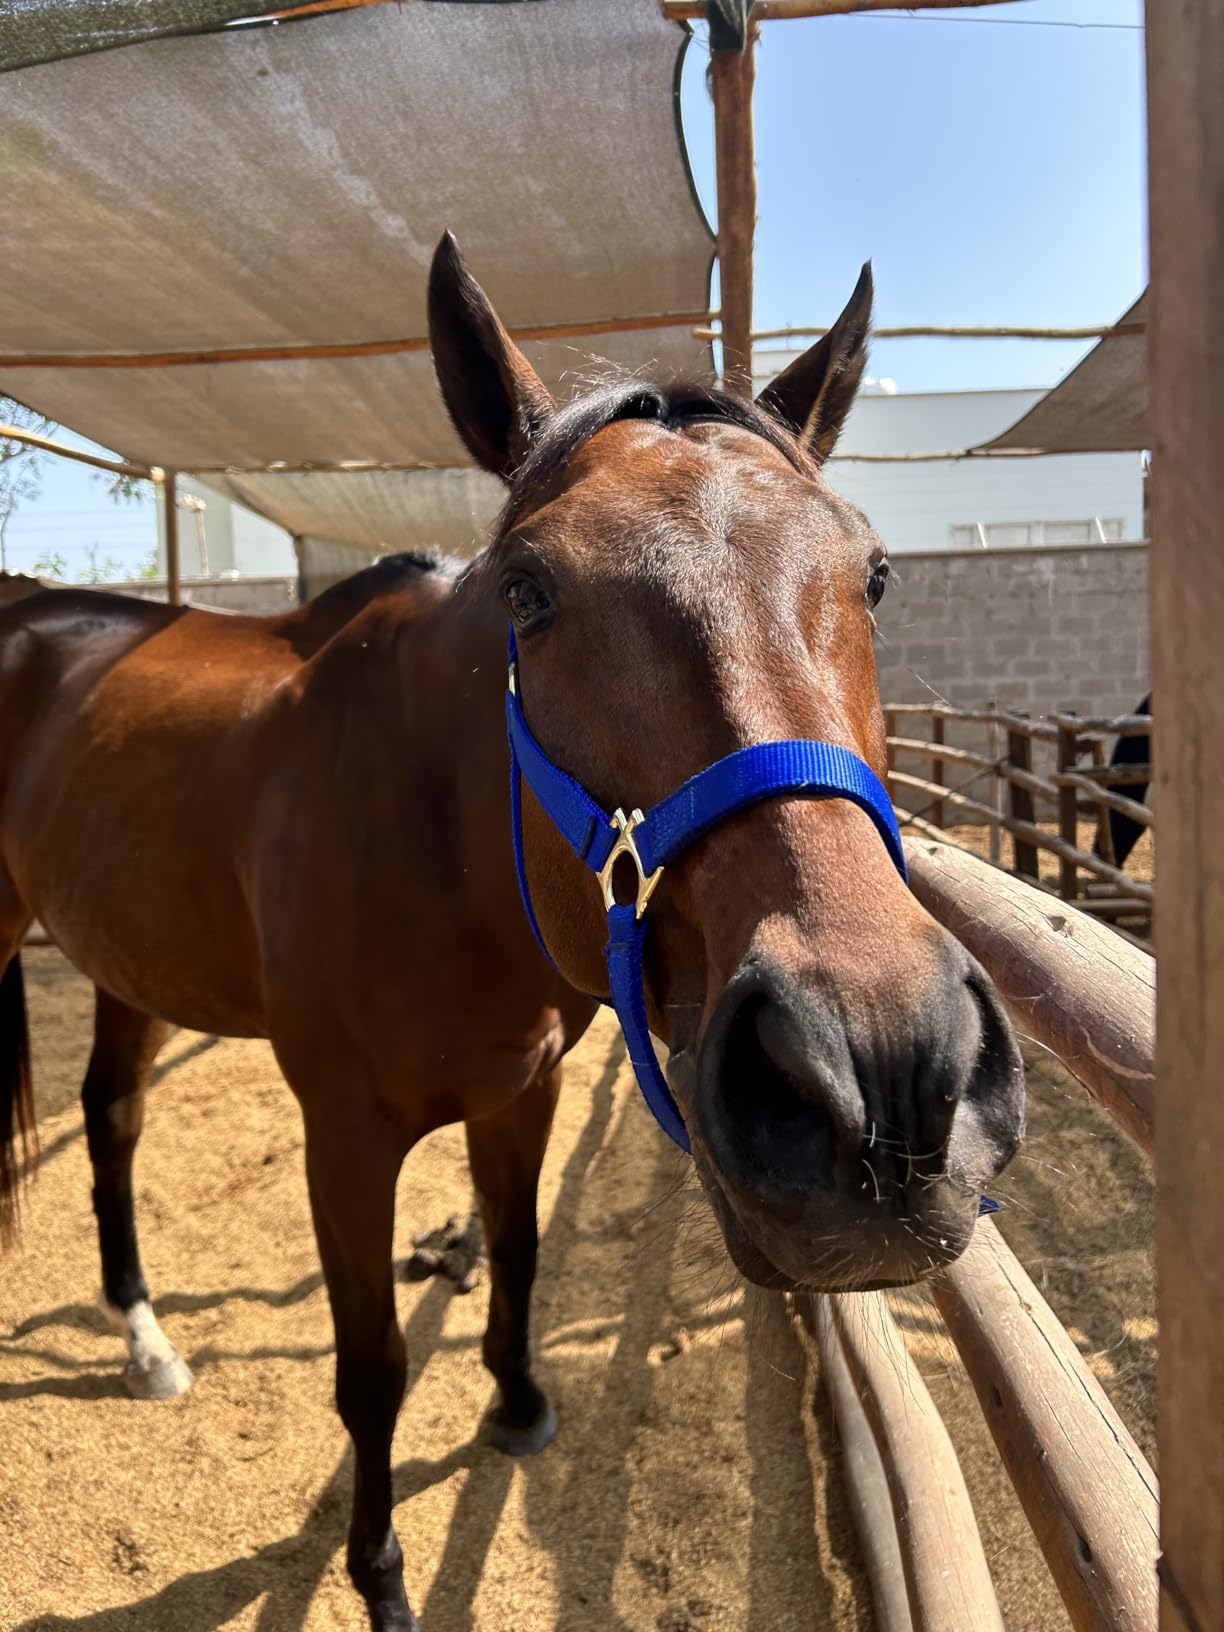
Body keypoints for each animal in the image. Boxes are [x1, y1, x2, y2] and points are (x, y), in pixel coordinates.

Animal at [0, 234, 1025, 1632]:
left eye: (874, 572)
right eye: (530, 590)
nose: (885, 1072)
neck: (440, 842)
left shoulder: (520, 1091)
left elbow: (522, 1254)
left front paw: (520, 1405)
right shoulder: (344, 1135)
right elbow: (372, 1367)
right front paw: (380, 1574)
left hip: (128, 965)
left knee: (110, 1119)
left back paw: (146, 1338)